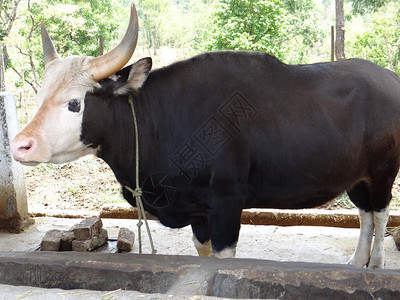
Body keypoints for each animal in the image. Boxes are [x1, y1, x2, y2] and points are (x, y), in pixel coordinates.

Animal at [10, 4, 400, 268]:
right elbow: (203, 255)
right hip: (355, 176)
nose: (20, 144)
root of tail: (389, 78)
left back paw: (377, 265)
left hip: (383, 171)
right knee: (365, 214)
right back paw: (356, 263)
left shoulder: (227, 205)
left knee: (380, 214)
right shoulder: (198, 213)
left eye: (75, 103)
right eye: (40, 95)